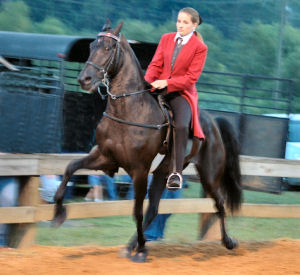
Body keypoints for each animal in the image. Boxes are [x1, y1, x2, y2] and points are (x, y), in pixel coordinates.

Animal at [53, 21, 241, 264]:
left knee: (218, 203)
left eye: (108, 48)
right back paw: (130, 246)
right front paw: (58, 214)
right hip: (162, 172)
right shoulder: (104, 157)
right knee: (154, 210)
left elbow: (137, 211)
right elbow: (70, 168)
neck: (129, 110)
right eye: (92, 46)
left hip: (209, 174)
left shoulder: (139, 171)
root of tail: (213, 122)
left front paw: (142, 250)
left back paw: (228, 242)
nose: (84, 80)